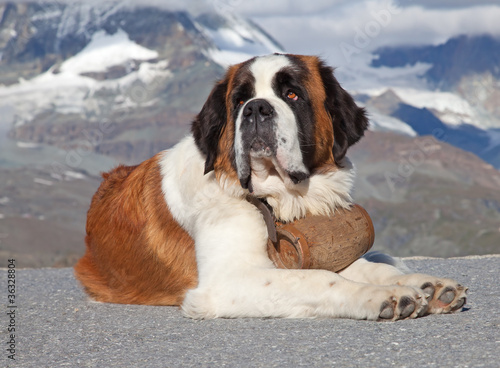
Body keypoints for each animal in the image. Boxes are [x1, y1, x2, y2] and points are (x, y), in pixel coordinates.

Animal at [75, 53, 468, 320]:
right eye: (238, 100)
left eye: (292, 95)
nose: (255, 109)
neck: (271, 198)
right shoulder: (227, 281)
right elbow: (319, 279)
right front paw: (382, 296)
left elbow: (362, 265)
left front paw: (425, 285)